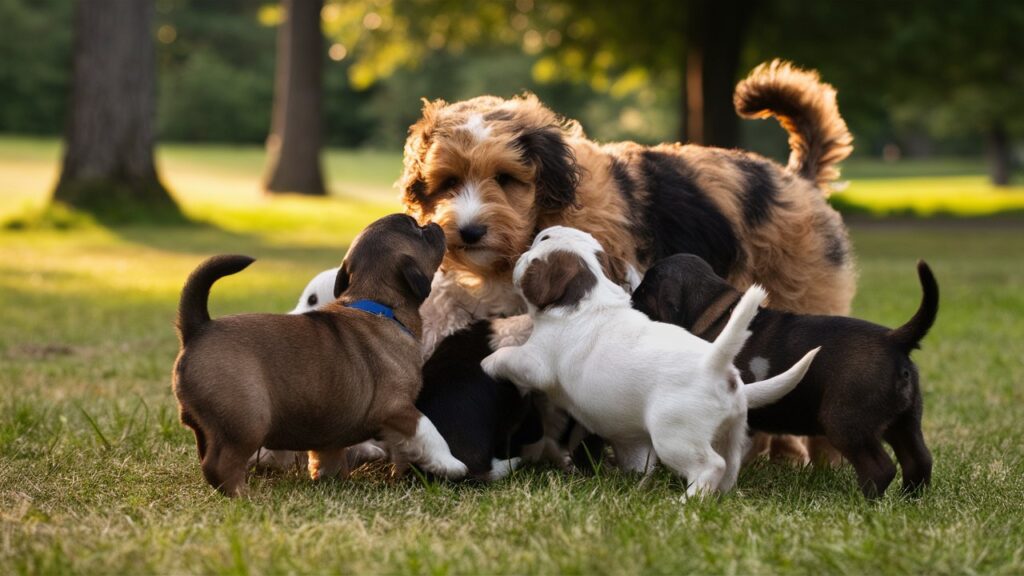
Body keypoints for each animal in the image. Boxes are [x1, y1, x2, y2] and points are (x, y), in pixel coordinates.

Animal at [172, 214, 468, 494]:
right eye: (417, 229)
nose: (434, 224)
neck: (378, 303)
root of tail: (198, 327)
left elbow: (330, 452)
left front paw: (329, 477)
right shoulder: (397, 406)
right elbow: (427, 429)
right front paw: (451, 464)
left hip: (208, 427)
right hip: (247, 422)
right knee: (219, 465)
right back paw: (243, 495)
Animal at [481, 226, 823, 496]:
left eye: (541, 241)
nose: (523, 251)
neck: (590, 296)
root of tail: (715, 365)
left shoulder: (536, 361)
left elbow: (507, 356)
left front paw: (488, 362)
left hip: (673, 437)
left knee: (711, 466)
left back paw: (688, 501)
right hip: (732, 433)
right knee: (729, 469)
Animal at [630, 253, 937, 496]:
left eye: (644, 291)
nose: (629, 299)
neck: (713, 310)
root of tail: (894, 340)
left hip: (846, 423)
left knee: (880, 468)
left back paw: (867, 503)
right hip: (904, 422)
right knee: (919, 461)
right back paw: (908, 501)